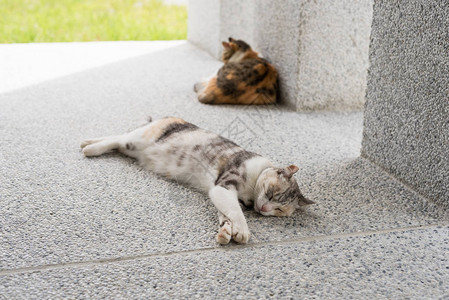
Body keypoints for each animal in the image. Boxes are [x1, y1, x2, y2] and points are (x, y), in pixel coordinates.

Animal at [79, 116, 312, 245]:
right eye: (272, 193)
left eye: (279, 210)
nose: (264, 208)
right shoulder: (224, 186)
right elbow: (236, 212)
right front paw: (243, 231)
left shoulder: (221, 193)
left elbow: (226, 215)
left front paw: (226, 232)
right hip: (137, 139)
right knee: (117, 138)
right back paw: (90, 148)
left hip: (132, 147)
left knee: (116, 141)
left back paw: (87, 141)